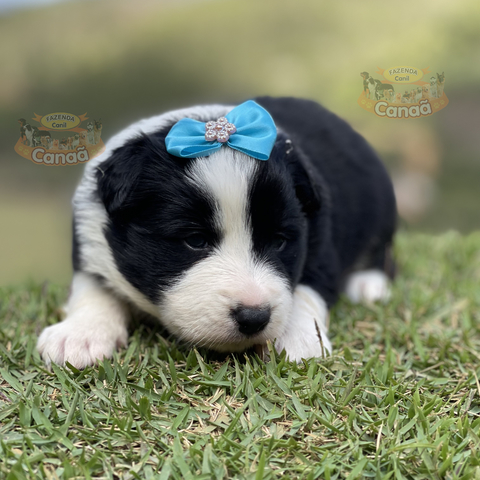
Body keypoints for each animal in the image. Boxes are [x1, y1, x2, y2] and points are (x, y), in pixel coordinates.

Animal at [36, 97, 398, 368]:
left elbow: (309, 286)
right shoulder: (90, 236)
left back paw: (368, 283)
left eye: (279, 242)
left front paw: (297, 336)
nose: (254, 317)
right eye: (195, 240)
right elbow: (91, 286)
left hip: (381, 207)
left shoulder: (321, 240)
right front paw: (79, 334)